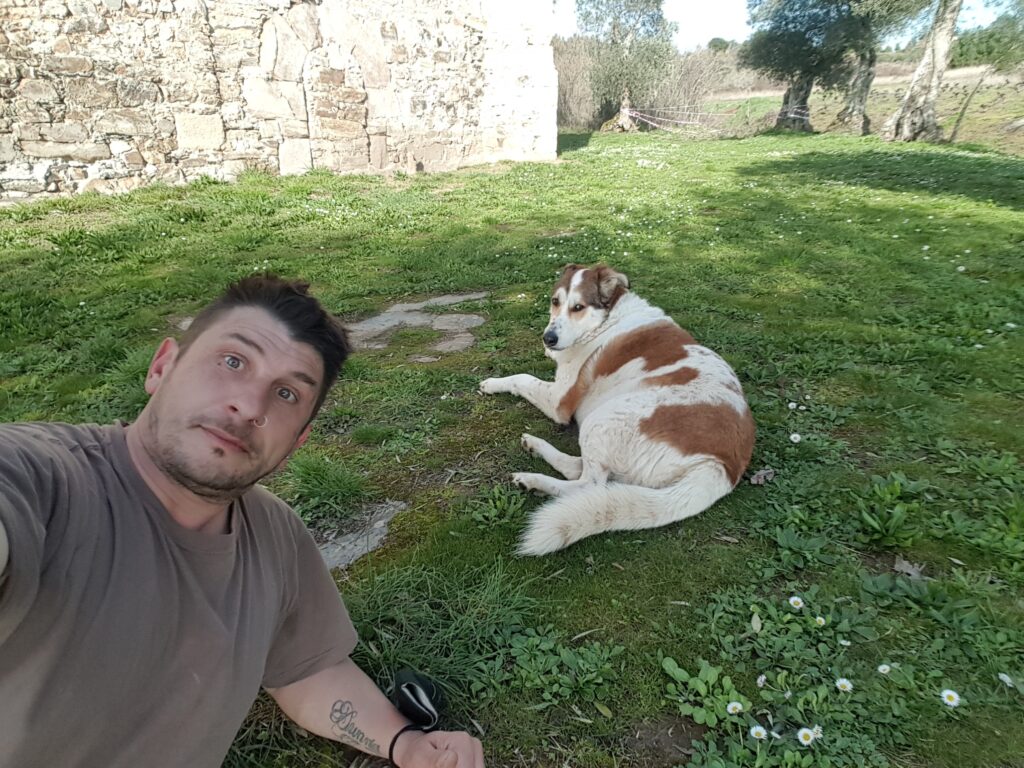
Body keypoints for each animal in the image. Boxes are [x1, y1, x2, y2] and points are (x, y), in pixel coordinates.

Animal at [479, 264, 755, 555]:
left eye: (578, 307)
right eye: (555, 301)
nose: (548, 338)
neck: (606, 320)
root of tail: (723, 466)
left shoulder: (558, 401)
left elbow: (522, 378)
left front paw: (493, 383)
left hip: (602, 419)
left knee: (588, 485)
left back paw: (533, 481)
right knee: (581, 471)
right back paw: (534, 446)